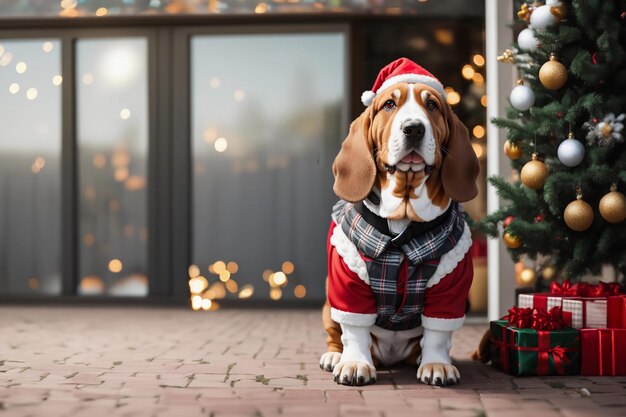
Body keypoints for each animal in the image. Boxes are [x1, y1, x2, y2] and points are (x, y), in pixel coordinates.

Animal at [320, 58, 476, 386]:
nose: (413, 128)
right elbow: (354, 330)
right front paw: (355, 363)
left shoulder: (451, 285)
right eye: (389, 104)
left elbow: (438, 334)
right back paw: (335, 356)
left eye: (432, 105)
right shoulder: (347, 282)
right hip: (329, 303)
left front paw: (436, 364)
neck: (403, 228)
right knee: (337, 332)